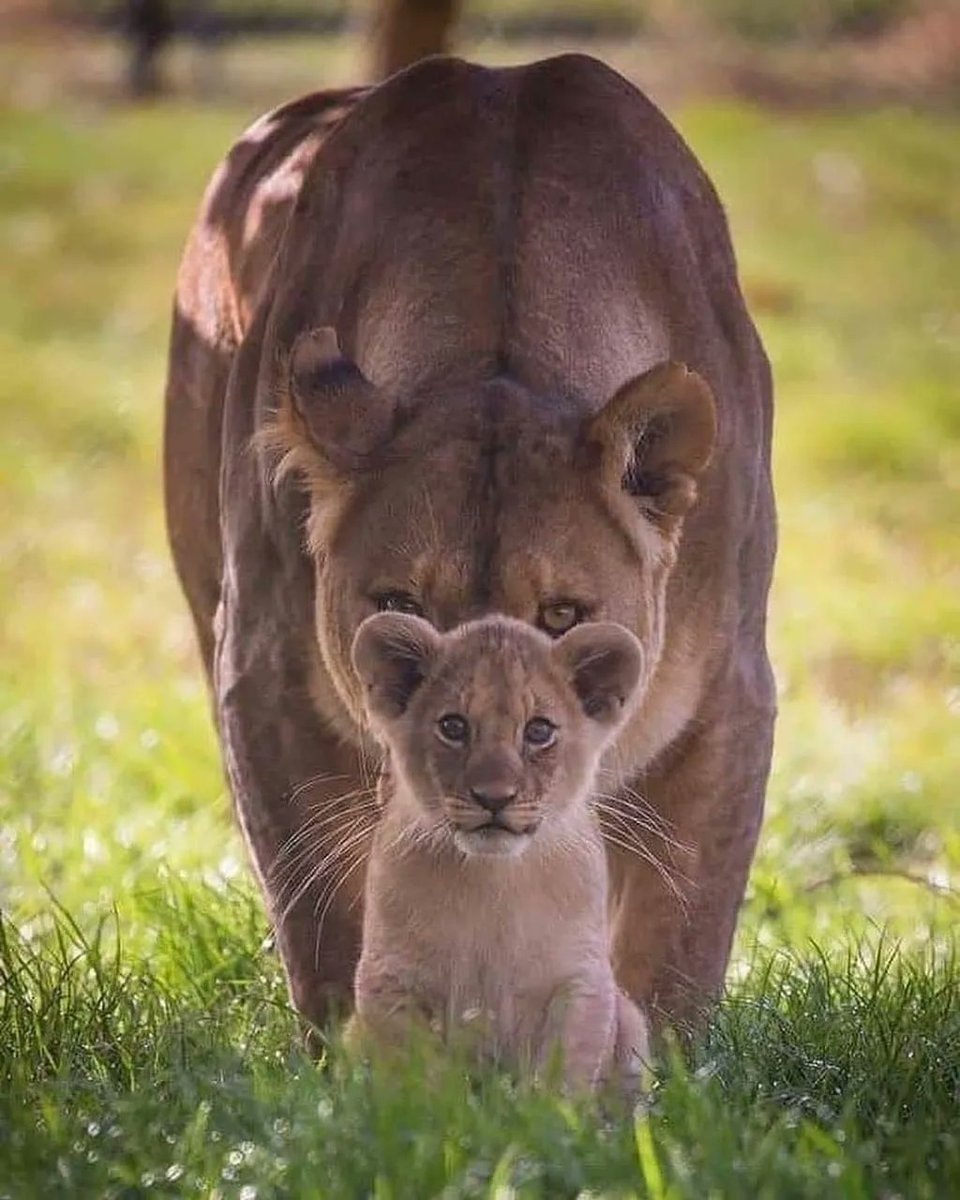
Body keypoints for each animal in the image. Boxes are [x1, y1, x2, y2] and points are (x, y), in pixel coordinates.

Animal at [163, 53, 776, 1042]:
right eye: (399, 606)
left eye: (562, 614)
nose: (486, 764)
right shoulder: (260, 676)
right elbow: (327, 915)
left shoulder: (727, 695)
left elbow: (680, 938)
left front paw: (653, 1072)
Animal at [348, 611, 649, 1091]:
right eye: (453, 727)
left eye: (539, 731)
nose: (494, 797)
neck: (492, 880)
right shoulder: (389, 978)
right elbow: (417, 1077)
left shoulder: (580, 980)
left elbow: (563, 1075)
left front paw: (548, 1110)